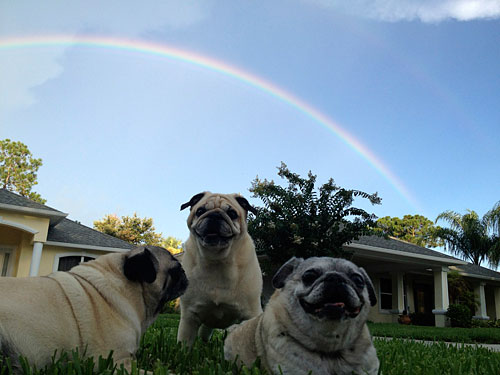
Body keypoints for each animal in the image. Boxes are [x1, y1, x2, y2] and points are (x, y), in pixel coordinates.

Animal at [177, 194, 262, 346]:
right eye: (200, 211)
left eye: (232, 214)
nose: (215, 215)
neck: (217, 261)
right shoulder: (189, 318)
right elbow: (184, 344)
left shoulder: (251, 314)